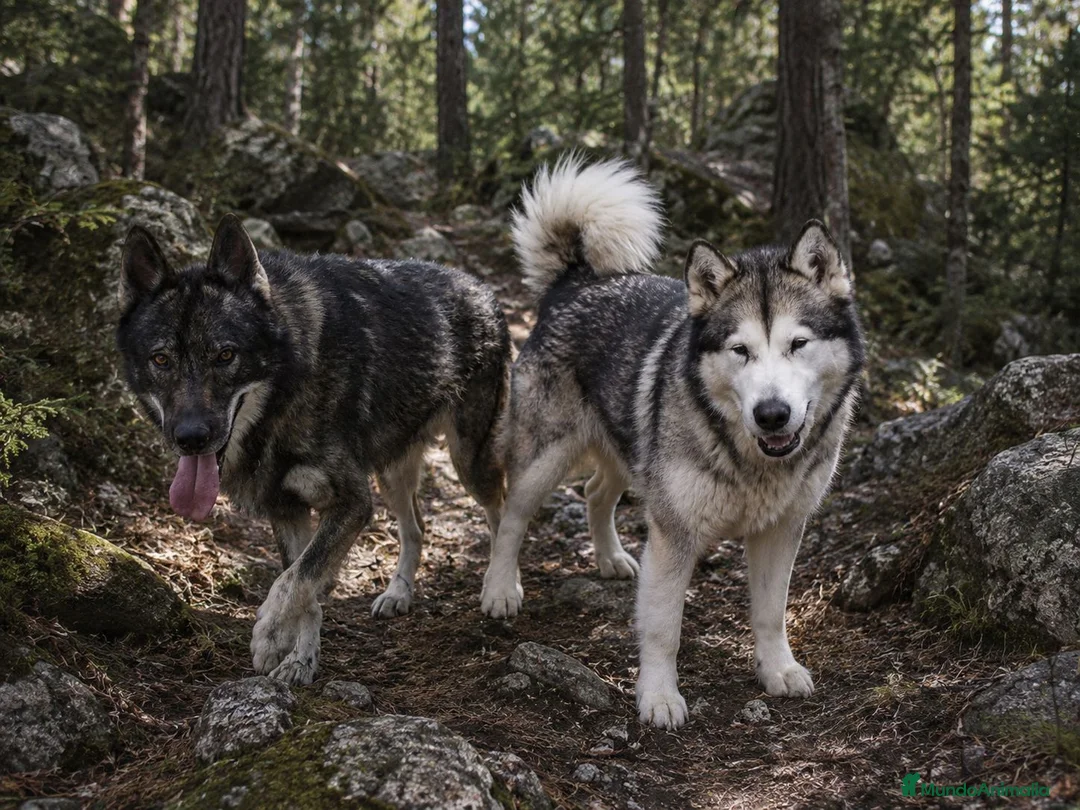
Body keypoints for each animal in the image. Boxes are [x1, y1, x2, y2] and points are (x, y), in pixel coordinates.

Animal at [117, 214, 509, 685]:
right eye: (161, 360)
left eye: (226, 355)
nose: (190, 437)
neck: (290, 386)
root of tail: (479, 286)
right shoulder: (288, 510)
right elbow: (304, 585)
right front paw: (300, 661)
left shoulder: (353, 505)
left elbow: (294, 579)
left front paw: (269, 636)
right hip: (392, 475)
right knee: (416, 526)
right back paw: (397, 593)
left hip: (468, 463)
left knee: (501, 510)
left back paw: (502, 590)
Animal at [480, 158, 865, 728]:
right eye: (740, 350)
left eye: (799, 343)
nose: (772, 414)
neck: (748, 458)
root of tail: (575, 280)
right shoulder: (674, 534)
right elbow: (663, 627)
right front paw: (659, 697)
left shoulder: (781, 530)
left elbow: (770, 612)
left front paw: (777, 669)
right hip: (546, 459)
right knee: (511, 516)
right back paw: (501, 589)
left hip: (627, 455)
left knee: (595, 494)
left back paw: (610, 558)